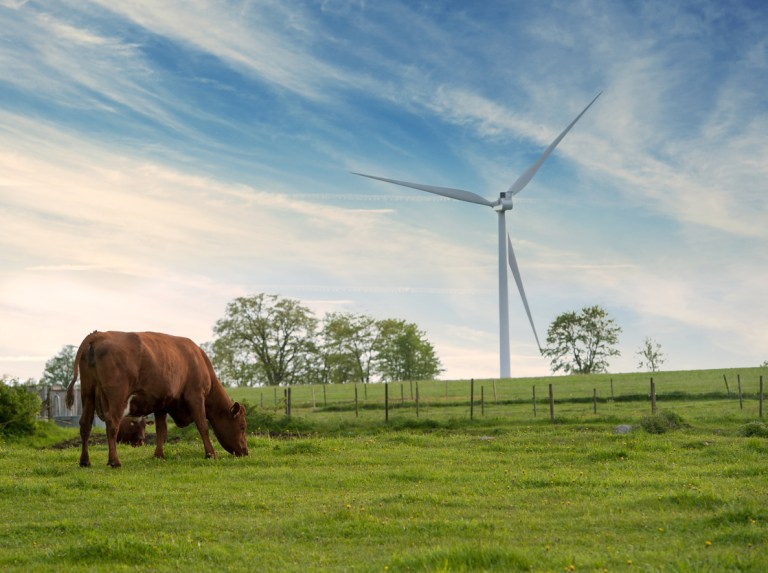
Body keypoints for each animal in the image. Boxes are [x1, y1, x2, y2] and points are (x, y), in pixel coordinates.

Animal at [66, 328, 248, 466]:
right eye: (242, 427)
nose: (246, 452)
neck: (198, 360)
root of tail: (99, 334)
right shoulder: (196, 396)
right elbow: (203, 425)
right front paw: (211, 453)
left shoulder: (162, 403)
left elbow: (161, 430)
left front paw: (159, 455)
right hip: (117, 396)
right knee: (112, 424)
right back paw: (114, 461)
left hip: (87, 393)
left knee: (85, 424)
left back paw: (85, 461)